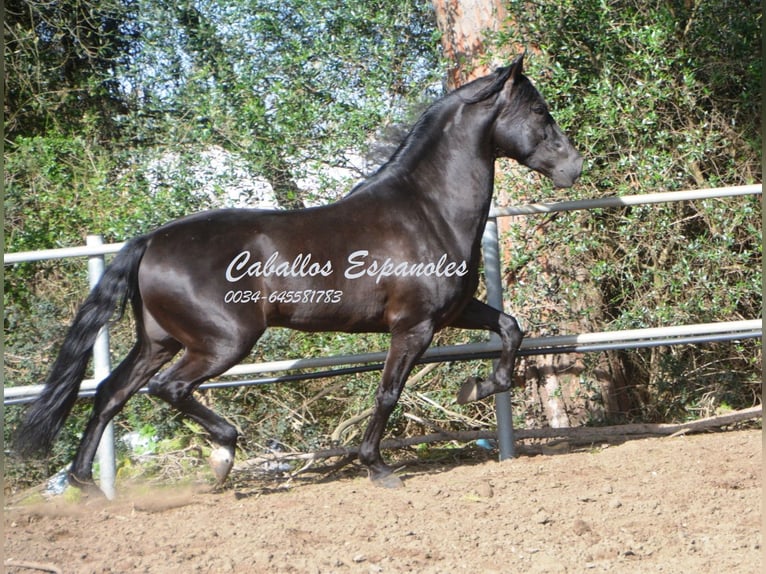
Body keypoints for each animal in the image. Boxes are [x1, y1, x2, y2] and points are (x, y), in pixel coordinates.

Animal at [16, 54, 584, 492]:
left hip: (160, 339)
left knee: (111, 393)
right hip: (224, 342)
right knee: (167, 389)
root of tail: (151, 240)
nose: (574, 168)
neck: (426, 209)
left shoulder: (455, 311)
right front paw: (377, 467)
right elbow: (388, 392)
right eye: (539, 110)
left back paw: (88, 485)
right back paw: (223, 455)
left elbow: (511, 329)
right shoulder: (414, 327)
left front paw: (478, 387)